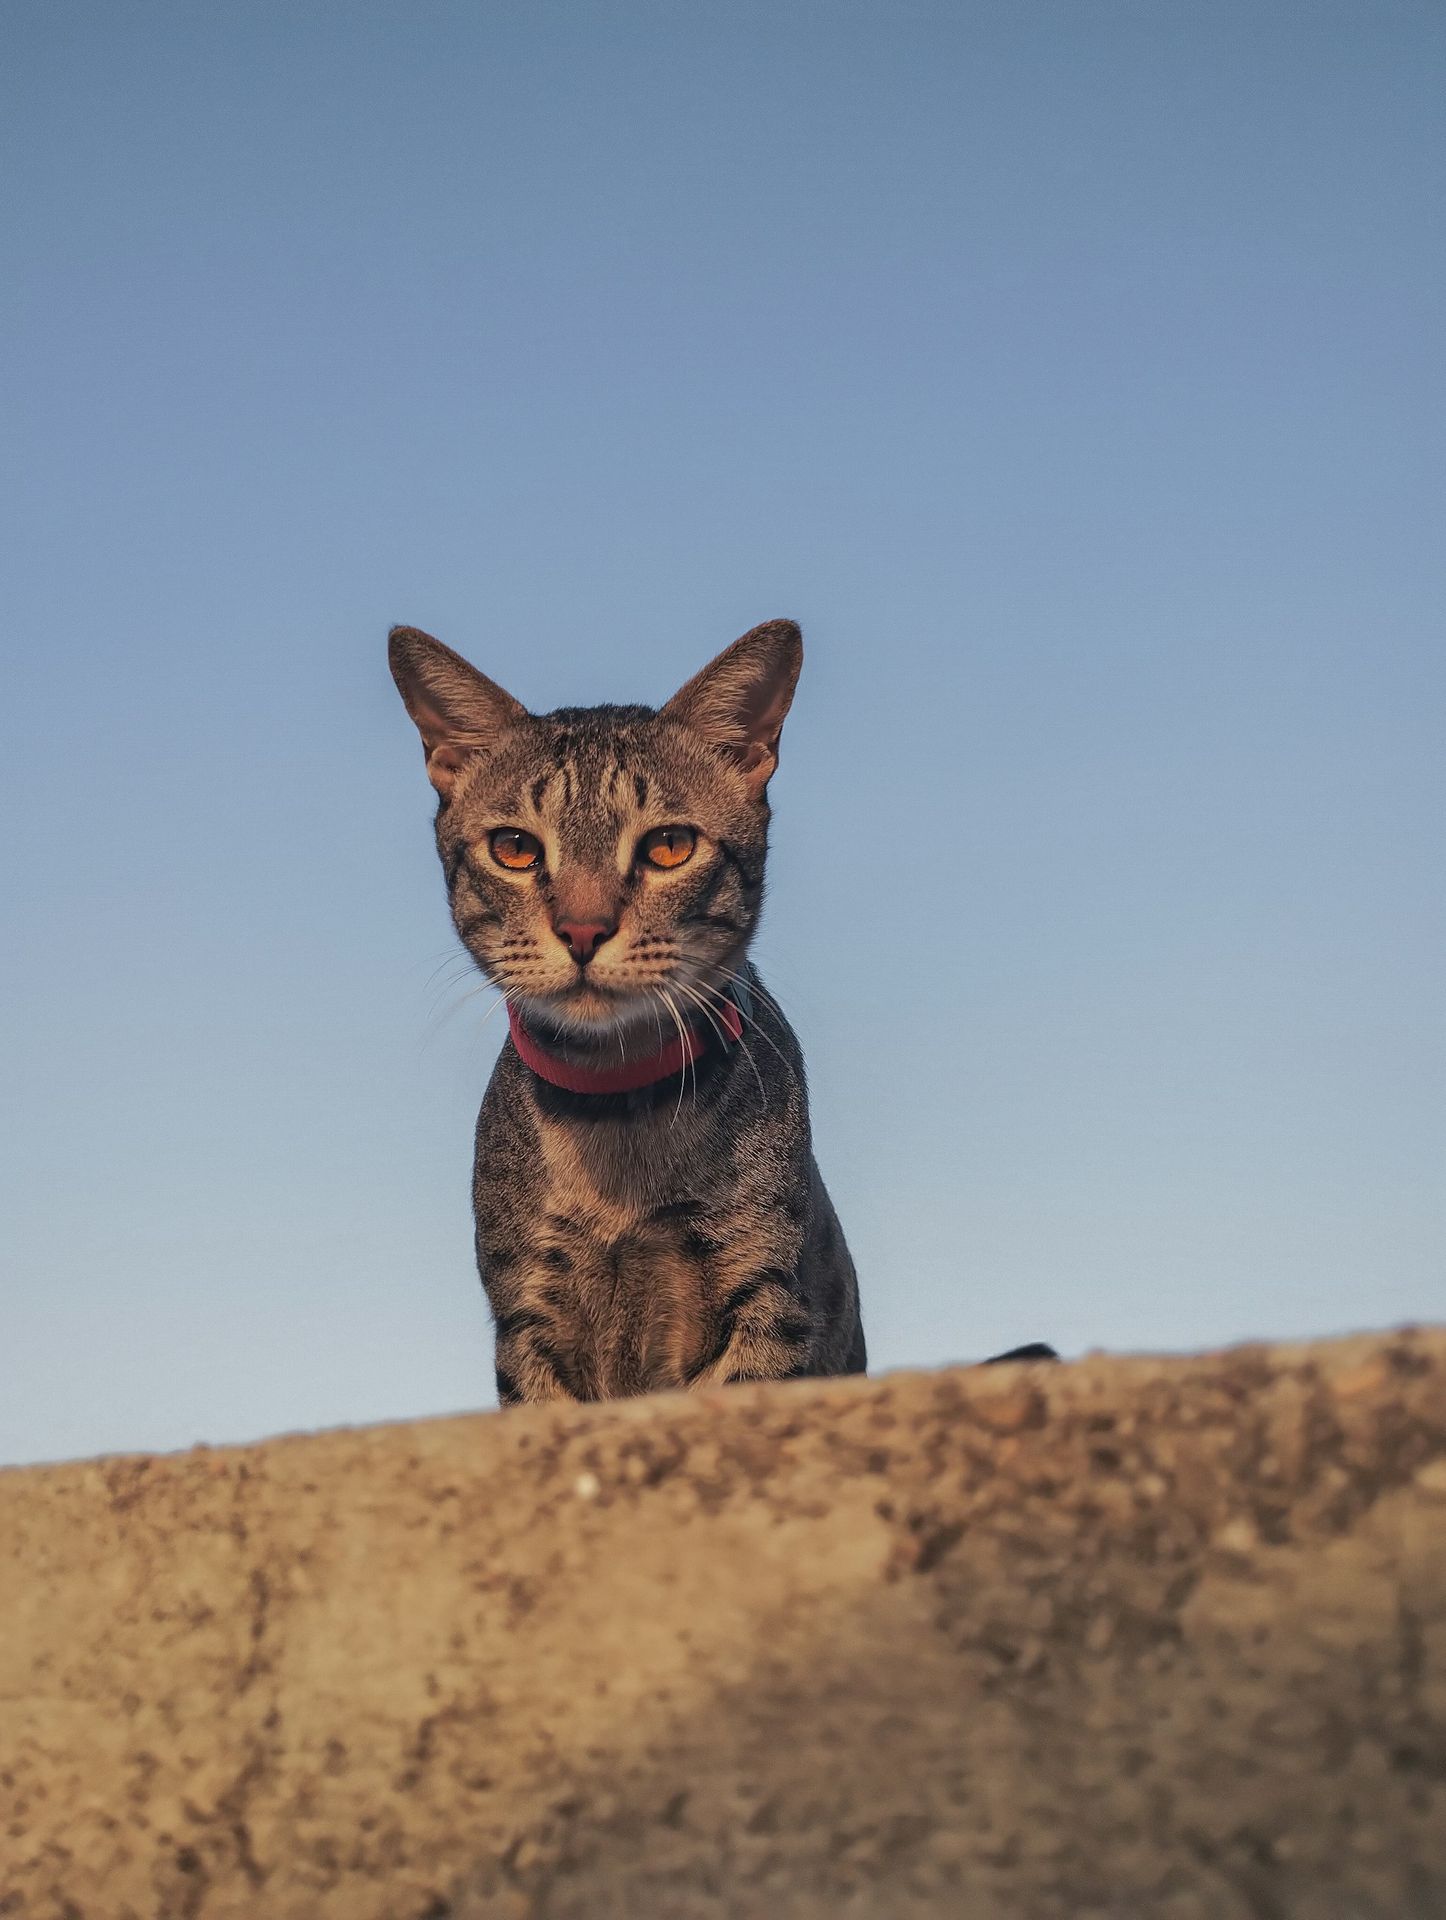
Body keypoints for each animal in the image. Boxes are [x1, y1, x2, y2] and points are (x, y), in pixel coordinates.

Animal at [385, 622, 867, 1405]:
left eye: (669, 846)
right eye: (514, 848)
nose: (582, 931)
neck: (616, 1114)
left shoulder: (765, 1291)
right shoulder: (525, 1312)